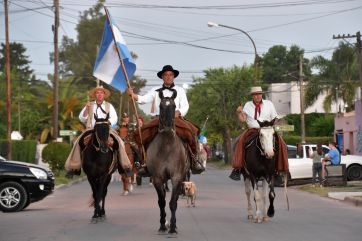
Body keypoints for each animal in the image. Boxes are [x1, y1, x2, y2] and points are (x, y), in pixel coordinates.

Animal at [146, 89, 189, 234]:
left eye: (174, 106)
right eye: (160, 106)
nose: (168, 128)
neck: (167, 146)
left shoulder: (177, 177)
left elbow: (173, 202)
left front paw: (173, 227)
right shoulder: (157, 178)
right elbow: (162, 202)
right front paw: (162, 225)